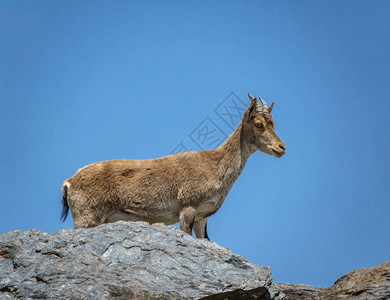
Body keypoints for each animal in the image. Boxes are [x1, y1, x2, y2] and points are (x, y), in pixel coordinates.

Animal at [61, 94, 286, 239]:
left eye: (273, 123)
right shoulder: (187, 208)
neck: (214, 164)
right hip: (86, 218)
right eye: (258, 124)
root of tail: (69, 182)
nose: (281, 147)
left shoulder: (202, 217)